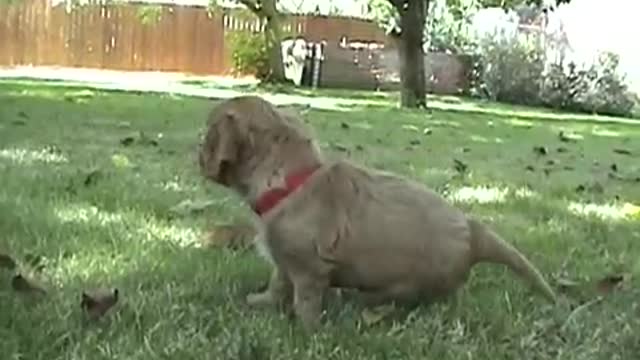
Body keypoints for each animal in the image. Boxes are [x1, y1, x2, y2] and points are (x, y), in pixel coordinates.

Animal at [198, 95, 556, 330]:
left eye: (208, 137)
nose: (197, 155)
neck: (291, 180)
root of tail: (473, 230)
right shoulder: (286, 262)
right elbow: (278, 282)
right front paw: (262, 301)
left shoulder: (310, 269)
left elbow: (306, 300)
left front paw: (304, 331)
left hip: (413, 283)